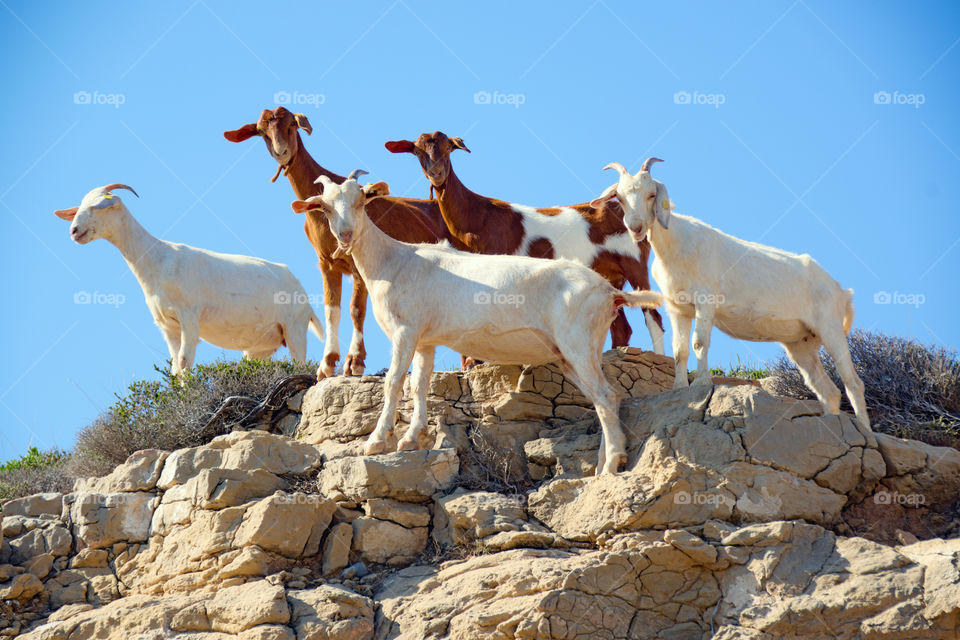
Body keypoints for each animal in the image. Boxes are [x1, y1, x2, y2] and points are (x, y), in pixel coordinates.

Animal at [55, 184, 323, 376]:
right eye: (78, 208)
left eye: (99, 206)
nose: (74, 231)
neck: (157, 260)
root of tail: (301, 290)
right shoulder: (167, 326)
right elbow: (175, 367)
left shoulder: (190, 317)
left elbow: (185, 361)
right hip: (260, 346)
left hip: (294, 328)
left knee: (300, 362)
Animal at [224, 108, 471, 376]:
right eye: (262, 131)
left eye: (291, 124)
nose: (282, 152)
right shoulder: (326, 264)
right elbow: (332, 310)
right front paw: (327, 364)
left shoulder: (359, 267)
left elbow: (356, 310)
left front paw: (354, 362)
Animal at [290, 171, 662, 474]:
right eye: (324, 207)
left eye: (361, 200)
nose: (345, 235)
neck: (392, 261)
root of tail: (609, 291)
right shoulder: (425, 339)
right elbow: (419, 385)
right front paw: (412, 438)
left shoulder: (405, 331)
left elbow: (394, 382)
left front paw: (376, 442)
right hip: (572, 354)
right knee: (602, 399)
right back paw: (602, 465)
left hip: (578, 344)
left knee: (607, 396)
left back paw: (612, 465)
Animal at [385, 132, 665, 355]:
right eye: (417, 151)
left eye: (447, 148)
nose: (436, 174)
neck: (478, 216)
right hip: (609, 275)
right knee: (621, 327)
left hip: (633, 261)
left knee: (653, 315)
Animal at [592, 159, 870, 430]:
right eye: (619, 197)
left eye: (651, 194)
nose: (636, 227)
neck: (676, 246)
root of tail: (842, 291)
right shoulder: (678, 308)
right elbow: (679, 350)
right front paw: (678, 389)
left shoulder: (705, 302)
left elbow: (699, 342)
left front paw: (701, 384)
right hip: (802, 343)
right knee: (828, 391)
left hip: (830, 327)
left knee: (853, 383)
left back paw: (864, 429)